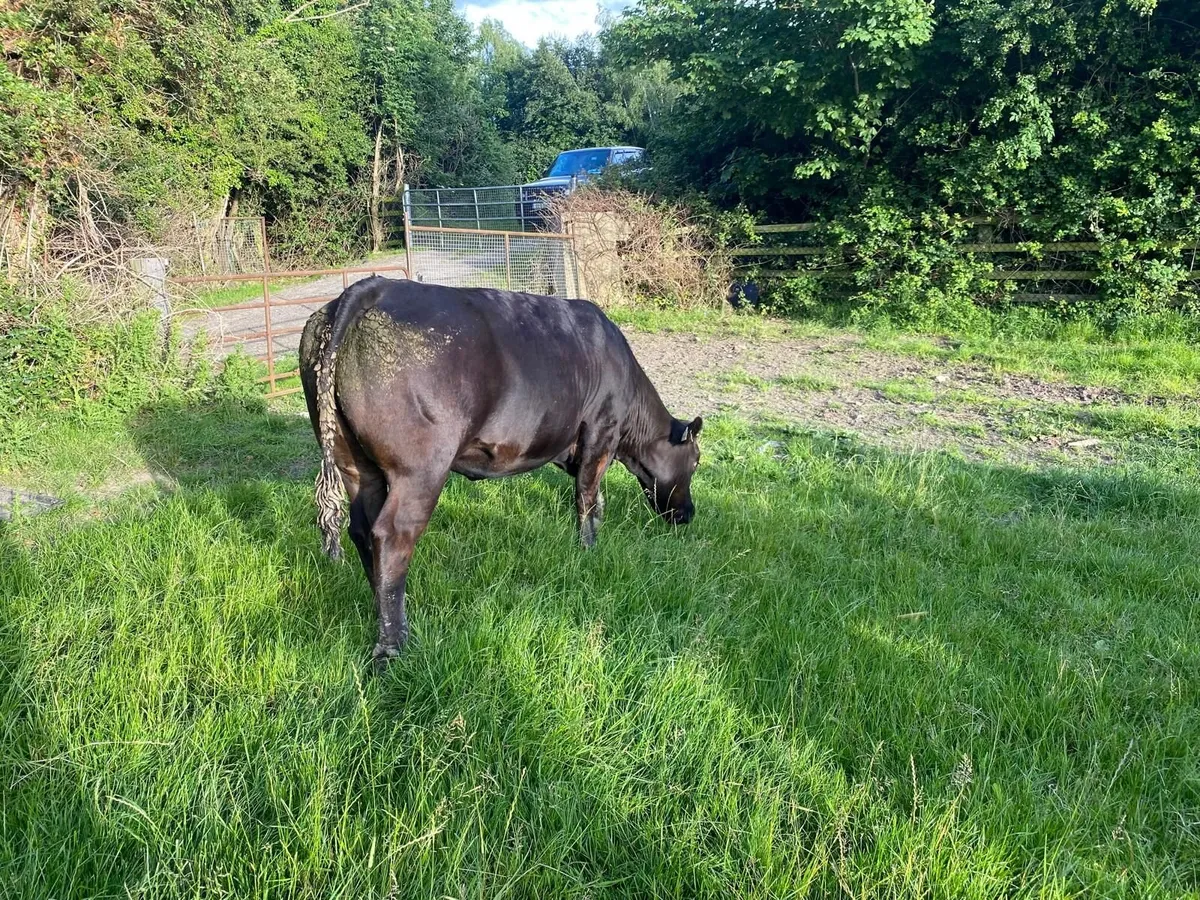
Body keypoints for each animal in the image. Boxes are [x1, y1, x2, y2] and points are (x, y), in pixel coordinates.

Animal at [299, 276, 703, 669]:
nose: (689, 514)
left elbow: (593, 498)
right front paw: (588, 550)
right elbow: (587, 498)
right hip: (419, 468)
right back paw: (394, 645)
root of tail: (369, 288)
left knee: (362, 527)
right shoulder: (601, 432)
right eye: (697, 460)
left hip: (353, 461)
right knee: (392, 535)